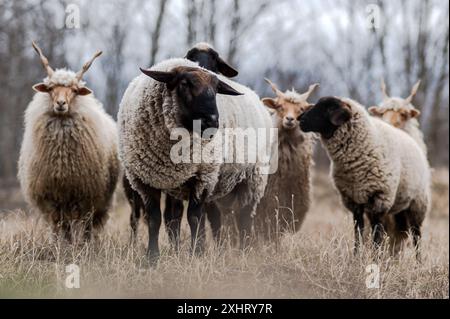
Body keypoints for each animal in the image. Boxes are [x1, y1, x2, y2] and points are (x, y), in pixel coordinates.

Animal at [18, 43, 119, 242]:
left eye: (74, 90)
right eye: (50, 89)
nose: (61, 103)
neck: (62, 160)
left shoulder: (84, 194)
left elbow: (82, 222)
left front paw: (79, 245)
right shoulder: (52, 196)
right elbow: (60, 224)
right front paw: (61, 245)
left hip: (100, 200)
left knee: (89, 223)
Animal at [300, 95, 430, 258]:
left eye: (328, 108)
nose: (300, 119)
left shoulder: (380, 199)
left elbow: (377, 233)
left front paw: (375, 257)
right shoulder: (354, 200)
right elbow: (358, 232)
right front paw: (357, 256)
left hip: (417, 204)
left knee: (416, 236)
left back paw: (418, 261)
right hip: (399, 209)